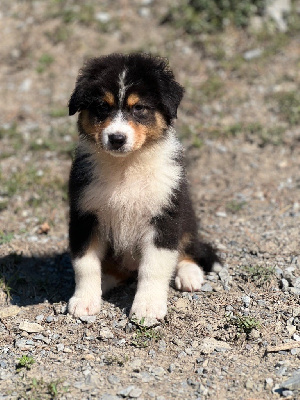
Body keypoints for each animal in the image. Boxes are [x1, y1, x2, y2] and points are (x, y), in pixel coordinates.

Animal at [67, 54, 219, 322]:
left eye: (138, 108)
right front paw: (84, 301)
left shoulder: (165, 216)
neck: (126, 166)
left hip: (187, 217)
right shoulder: (84, 215)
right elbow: (85, 263)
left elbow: (154, 267)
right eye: (102, 107)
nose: (116, 138)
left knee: (190, 248)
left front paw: (147, 308)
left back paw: (190, 274)